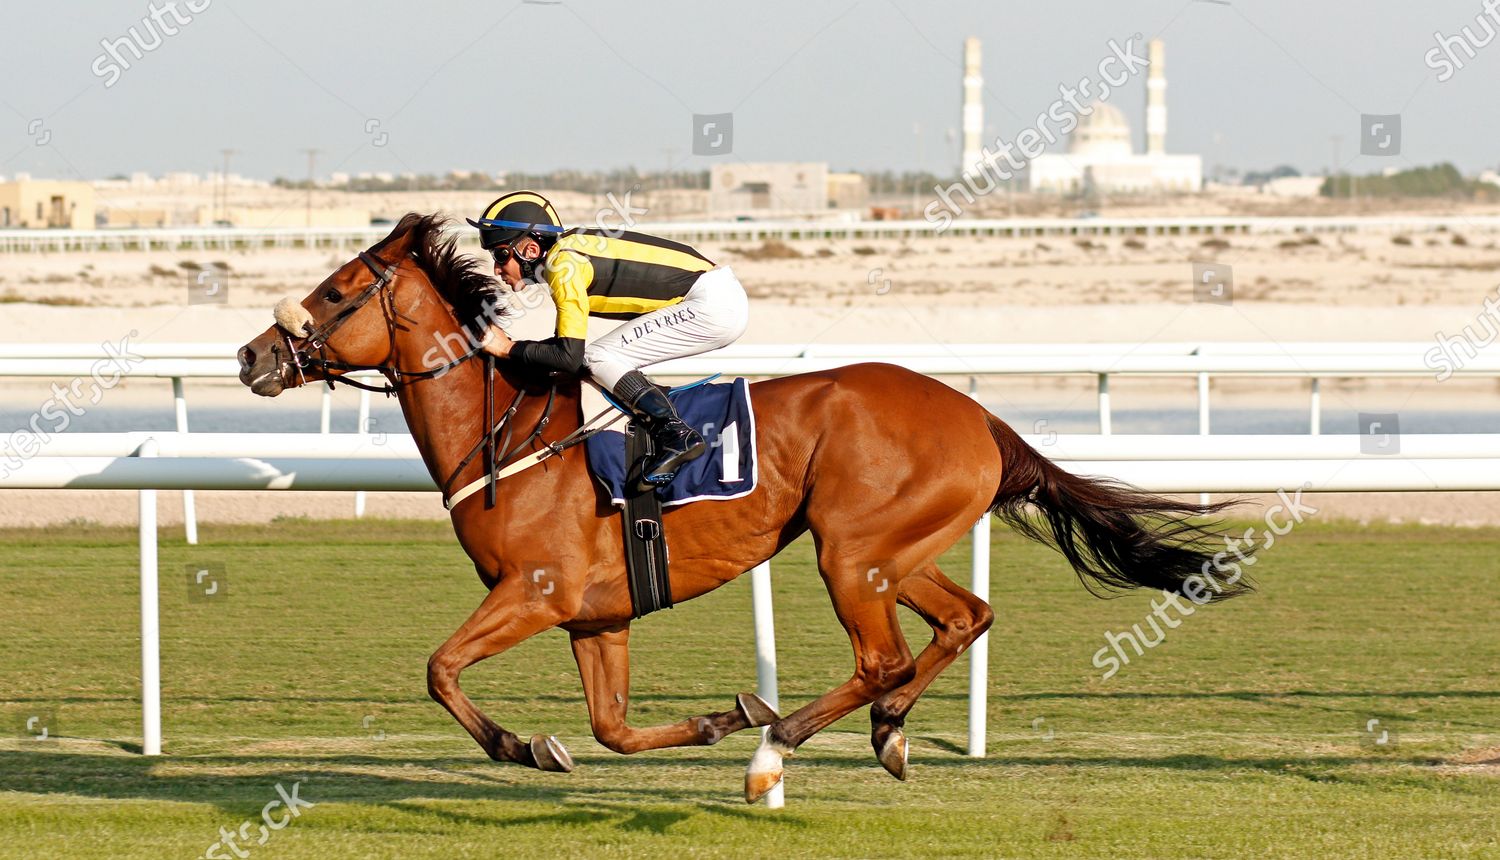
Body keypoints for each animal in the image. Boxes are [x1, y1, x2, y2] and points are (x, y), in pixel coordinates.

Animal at [236, 213, 1250, 803]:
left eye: (336, 291)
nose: (252, 357)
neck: (508, 434)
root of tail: (982, 415)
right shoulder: (596, 614)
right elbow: (610, 727)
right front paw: (706, 723)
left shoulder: (536, 591)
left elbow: (440, 669)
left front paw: (521, 747)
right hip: (892, 550)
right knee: (965, 618)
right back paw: (884, 734)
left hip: (849, 555)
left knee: (882, 658)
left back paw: (781, 748)